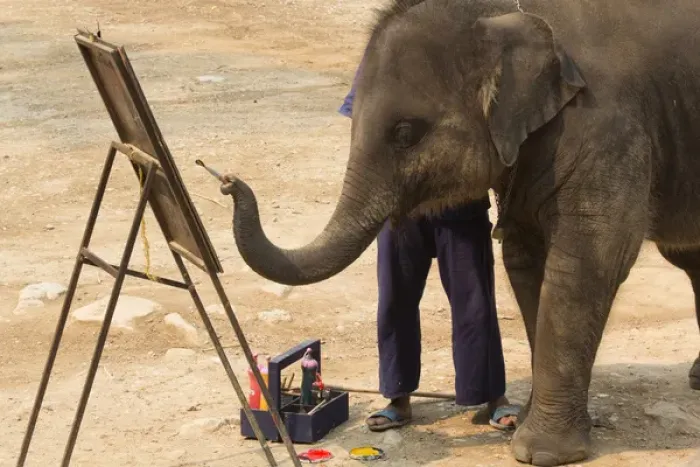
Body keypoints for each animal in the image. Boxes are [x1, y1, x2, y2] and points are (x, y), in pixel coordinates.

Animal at [219, 0, 700, 465]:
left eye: (405, 133)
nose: (229, 183)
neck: (502, 15)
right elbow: (527, 261)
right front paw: (524, 424)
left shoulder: (605, 128)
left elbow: (588, 262)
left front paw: (541, 453)